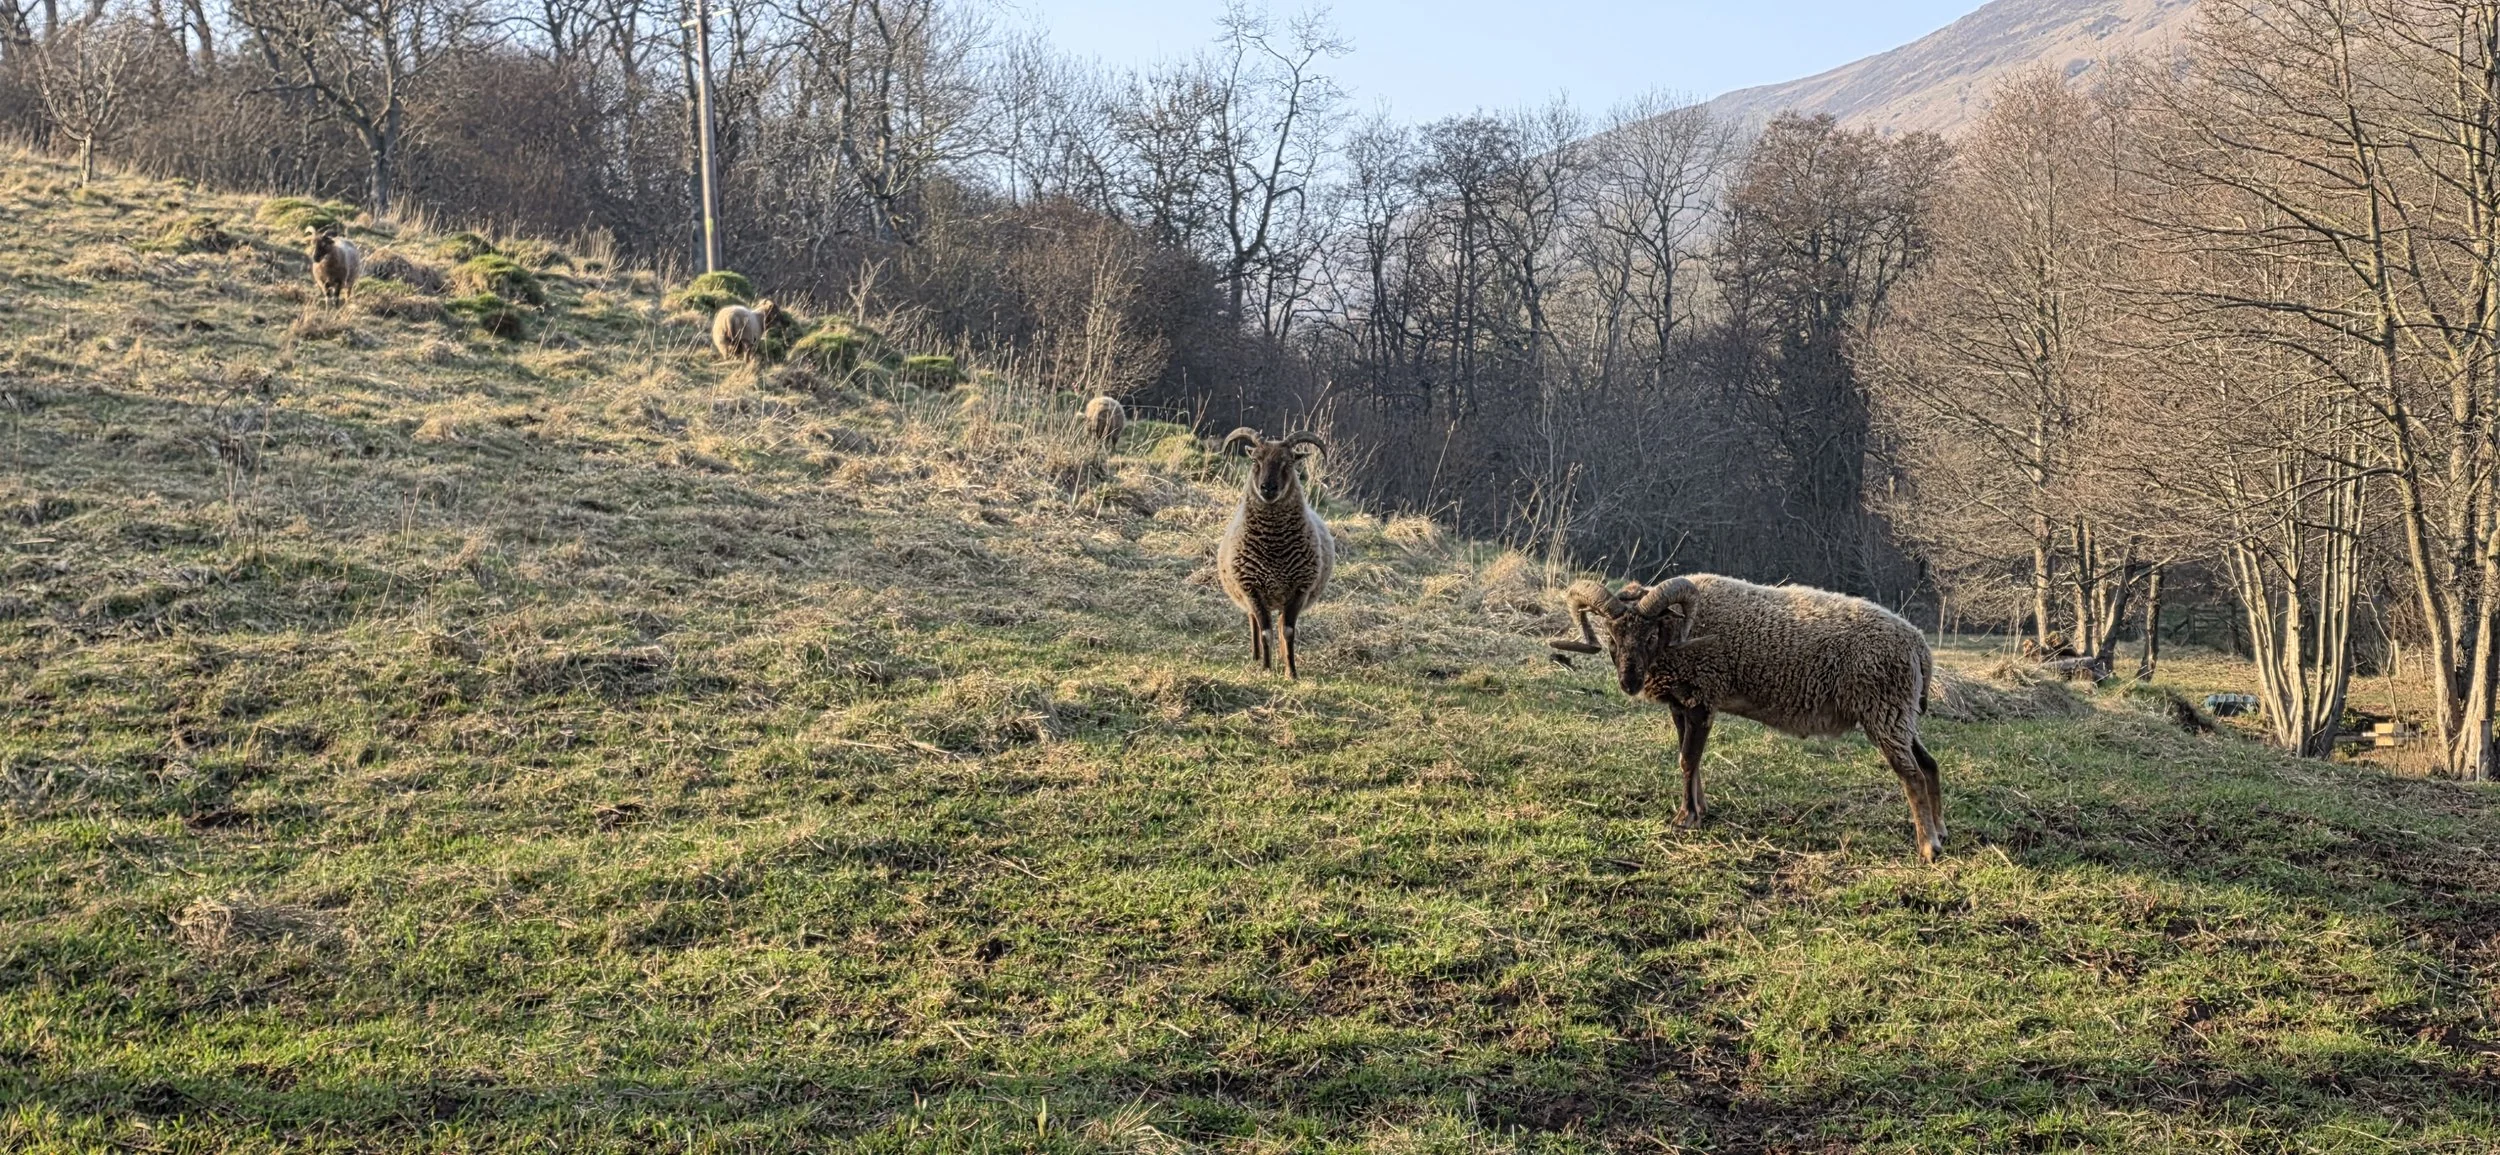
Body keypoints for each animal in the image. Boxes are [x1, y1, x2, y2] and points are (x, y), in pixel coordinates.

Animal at [1217, 428, 1334, 679]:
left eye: (1287, 462)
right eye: (1255, 460)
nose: (1267, 488)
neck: (1274, 548)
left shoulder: (1299, 589)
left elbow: (1287, 631)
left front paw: (1291, 672)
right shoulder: (1252, 588)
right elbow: (1265, 632)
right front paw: (1266, 669)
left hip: (1282, 599)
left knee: (1280, 625)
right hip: (1249, 596)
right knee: (1254, 623)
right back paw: (1256, 658)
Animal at [1550, 574, 1946, 861]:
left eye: (1651, 635)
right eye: (1612, 636)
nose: (1628, 683)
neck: (1680, 638)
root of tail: (1920, 646)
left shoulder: (1702, 697)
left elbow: (1687, 760)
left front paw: (1685, 819)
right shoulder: (1682, 705)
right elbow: (1692, 761)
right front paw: (1699, 809)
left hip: (1883, 710)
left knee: (1911, 776)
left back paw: (1927, 847)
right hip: (1899, 714)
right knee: (1929, 764)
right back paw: (1940, 831)